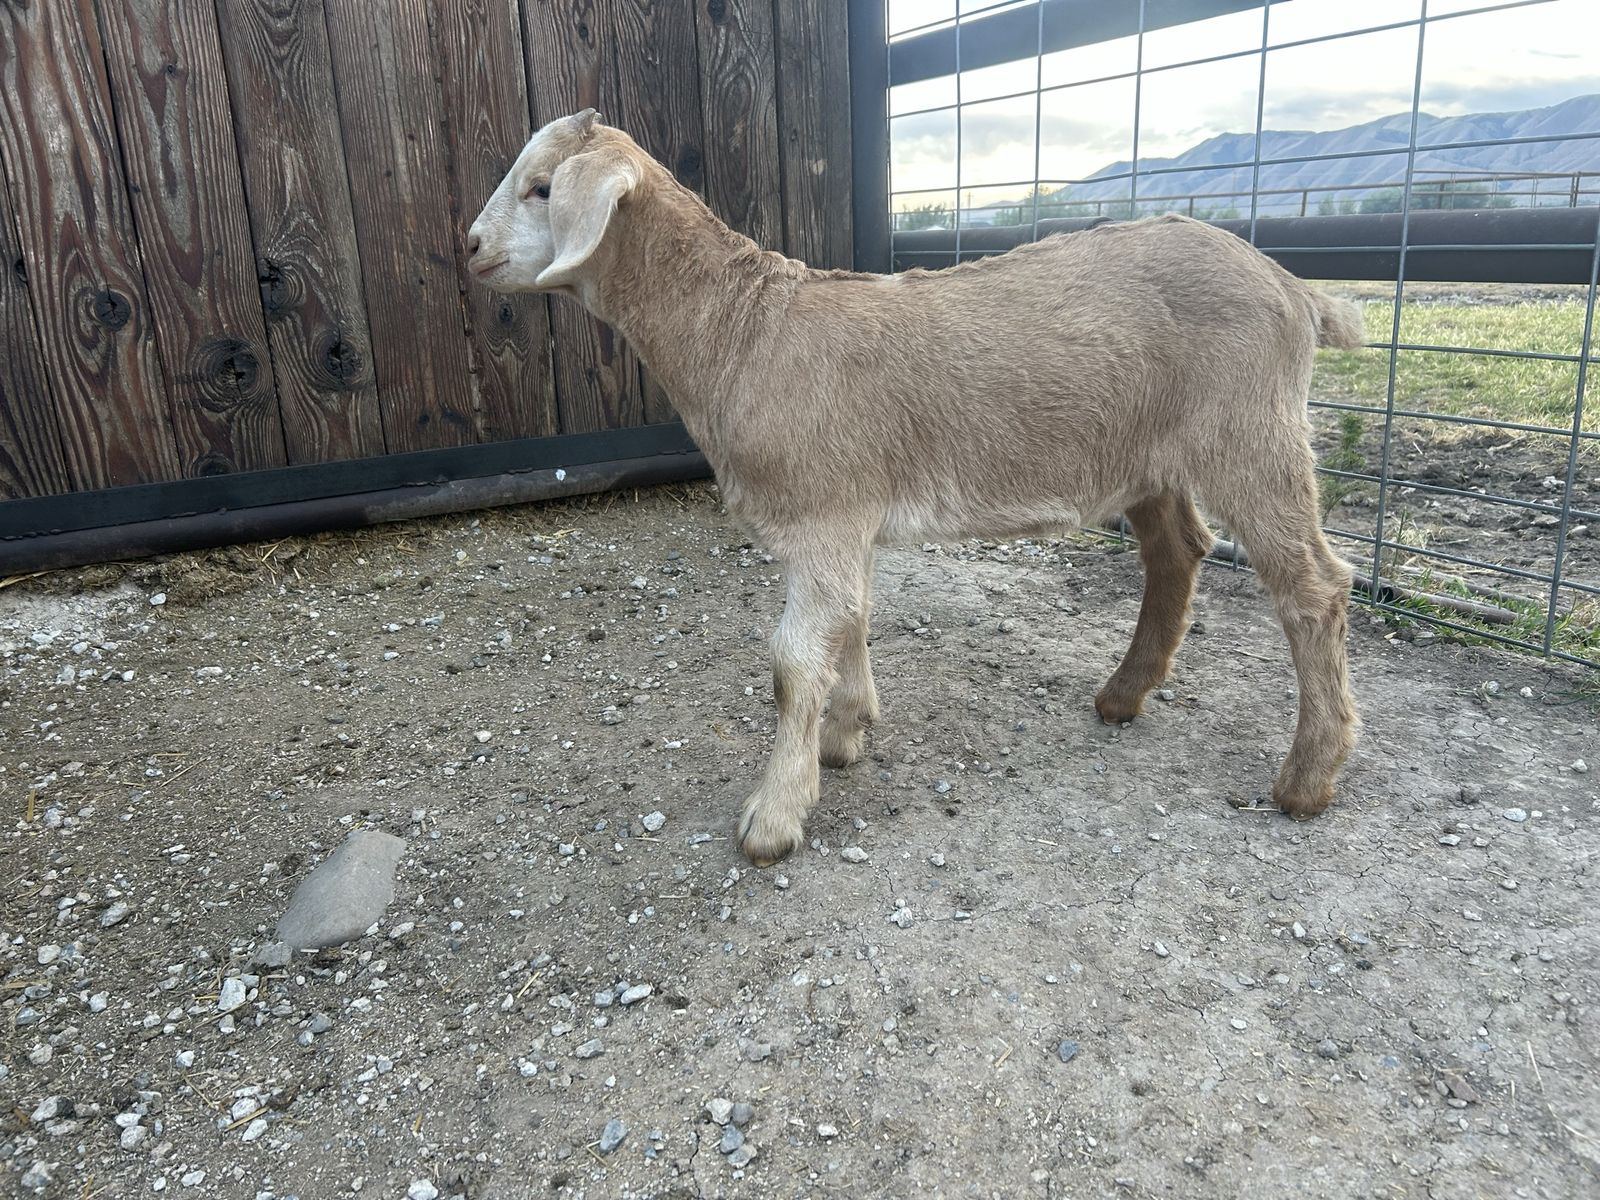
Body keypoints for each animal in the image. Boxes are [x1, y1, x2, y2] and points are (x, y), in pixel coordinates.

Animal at [468, 110, 1363, 867]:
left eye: (542, 187)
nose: (470, 247)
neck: (743, 331)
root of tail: (1294, 288)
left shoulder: (824, 512)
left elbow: (794, 660)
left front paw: (774, 817)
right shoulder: (844, 517)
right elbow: (853, 621)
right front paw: (846, 733)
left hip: (1250, 430)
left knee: (1314, 587)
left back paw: (1307, 778)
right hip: (1152, 454)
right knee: (1178, 551)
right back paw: (1124, 695)